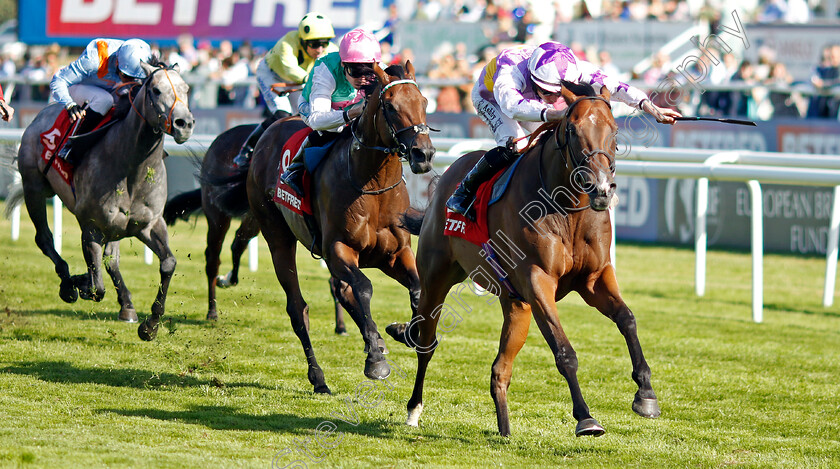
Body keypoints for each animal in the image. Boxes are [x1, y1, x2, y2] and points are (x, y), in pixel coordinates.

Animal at [10, 61, 195, 340]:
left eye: (186, 88)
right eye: (155, 90)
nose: (184, 123)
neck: (132, 167)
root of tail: (40, 116)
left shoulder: (149, 224)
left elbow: (168, 263)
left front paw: (150, 325)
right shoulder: (92, 227)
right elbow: (96, 287)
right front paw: (79, 282)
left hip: (115, 227)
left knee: (111, 259)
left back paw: (127, 306)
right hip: (34, 188)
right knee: (44, 239)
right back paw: (68, 283)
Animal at [386, 80, 656, 436]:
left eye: (613, 129)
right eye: (572, 129)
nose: (600, 188)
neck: (567, 209)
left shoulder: (594, 278)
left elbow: (627, 319)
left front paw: (646, 393)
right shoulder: (538, 280)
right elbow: (564, 351)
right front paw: (585, 418)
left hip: (516, 304)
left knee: (499, 370)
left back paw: (504, 429)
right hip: (436, 278)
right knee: (426, 342)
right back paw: (413, 408)